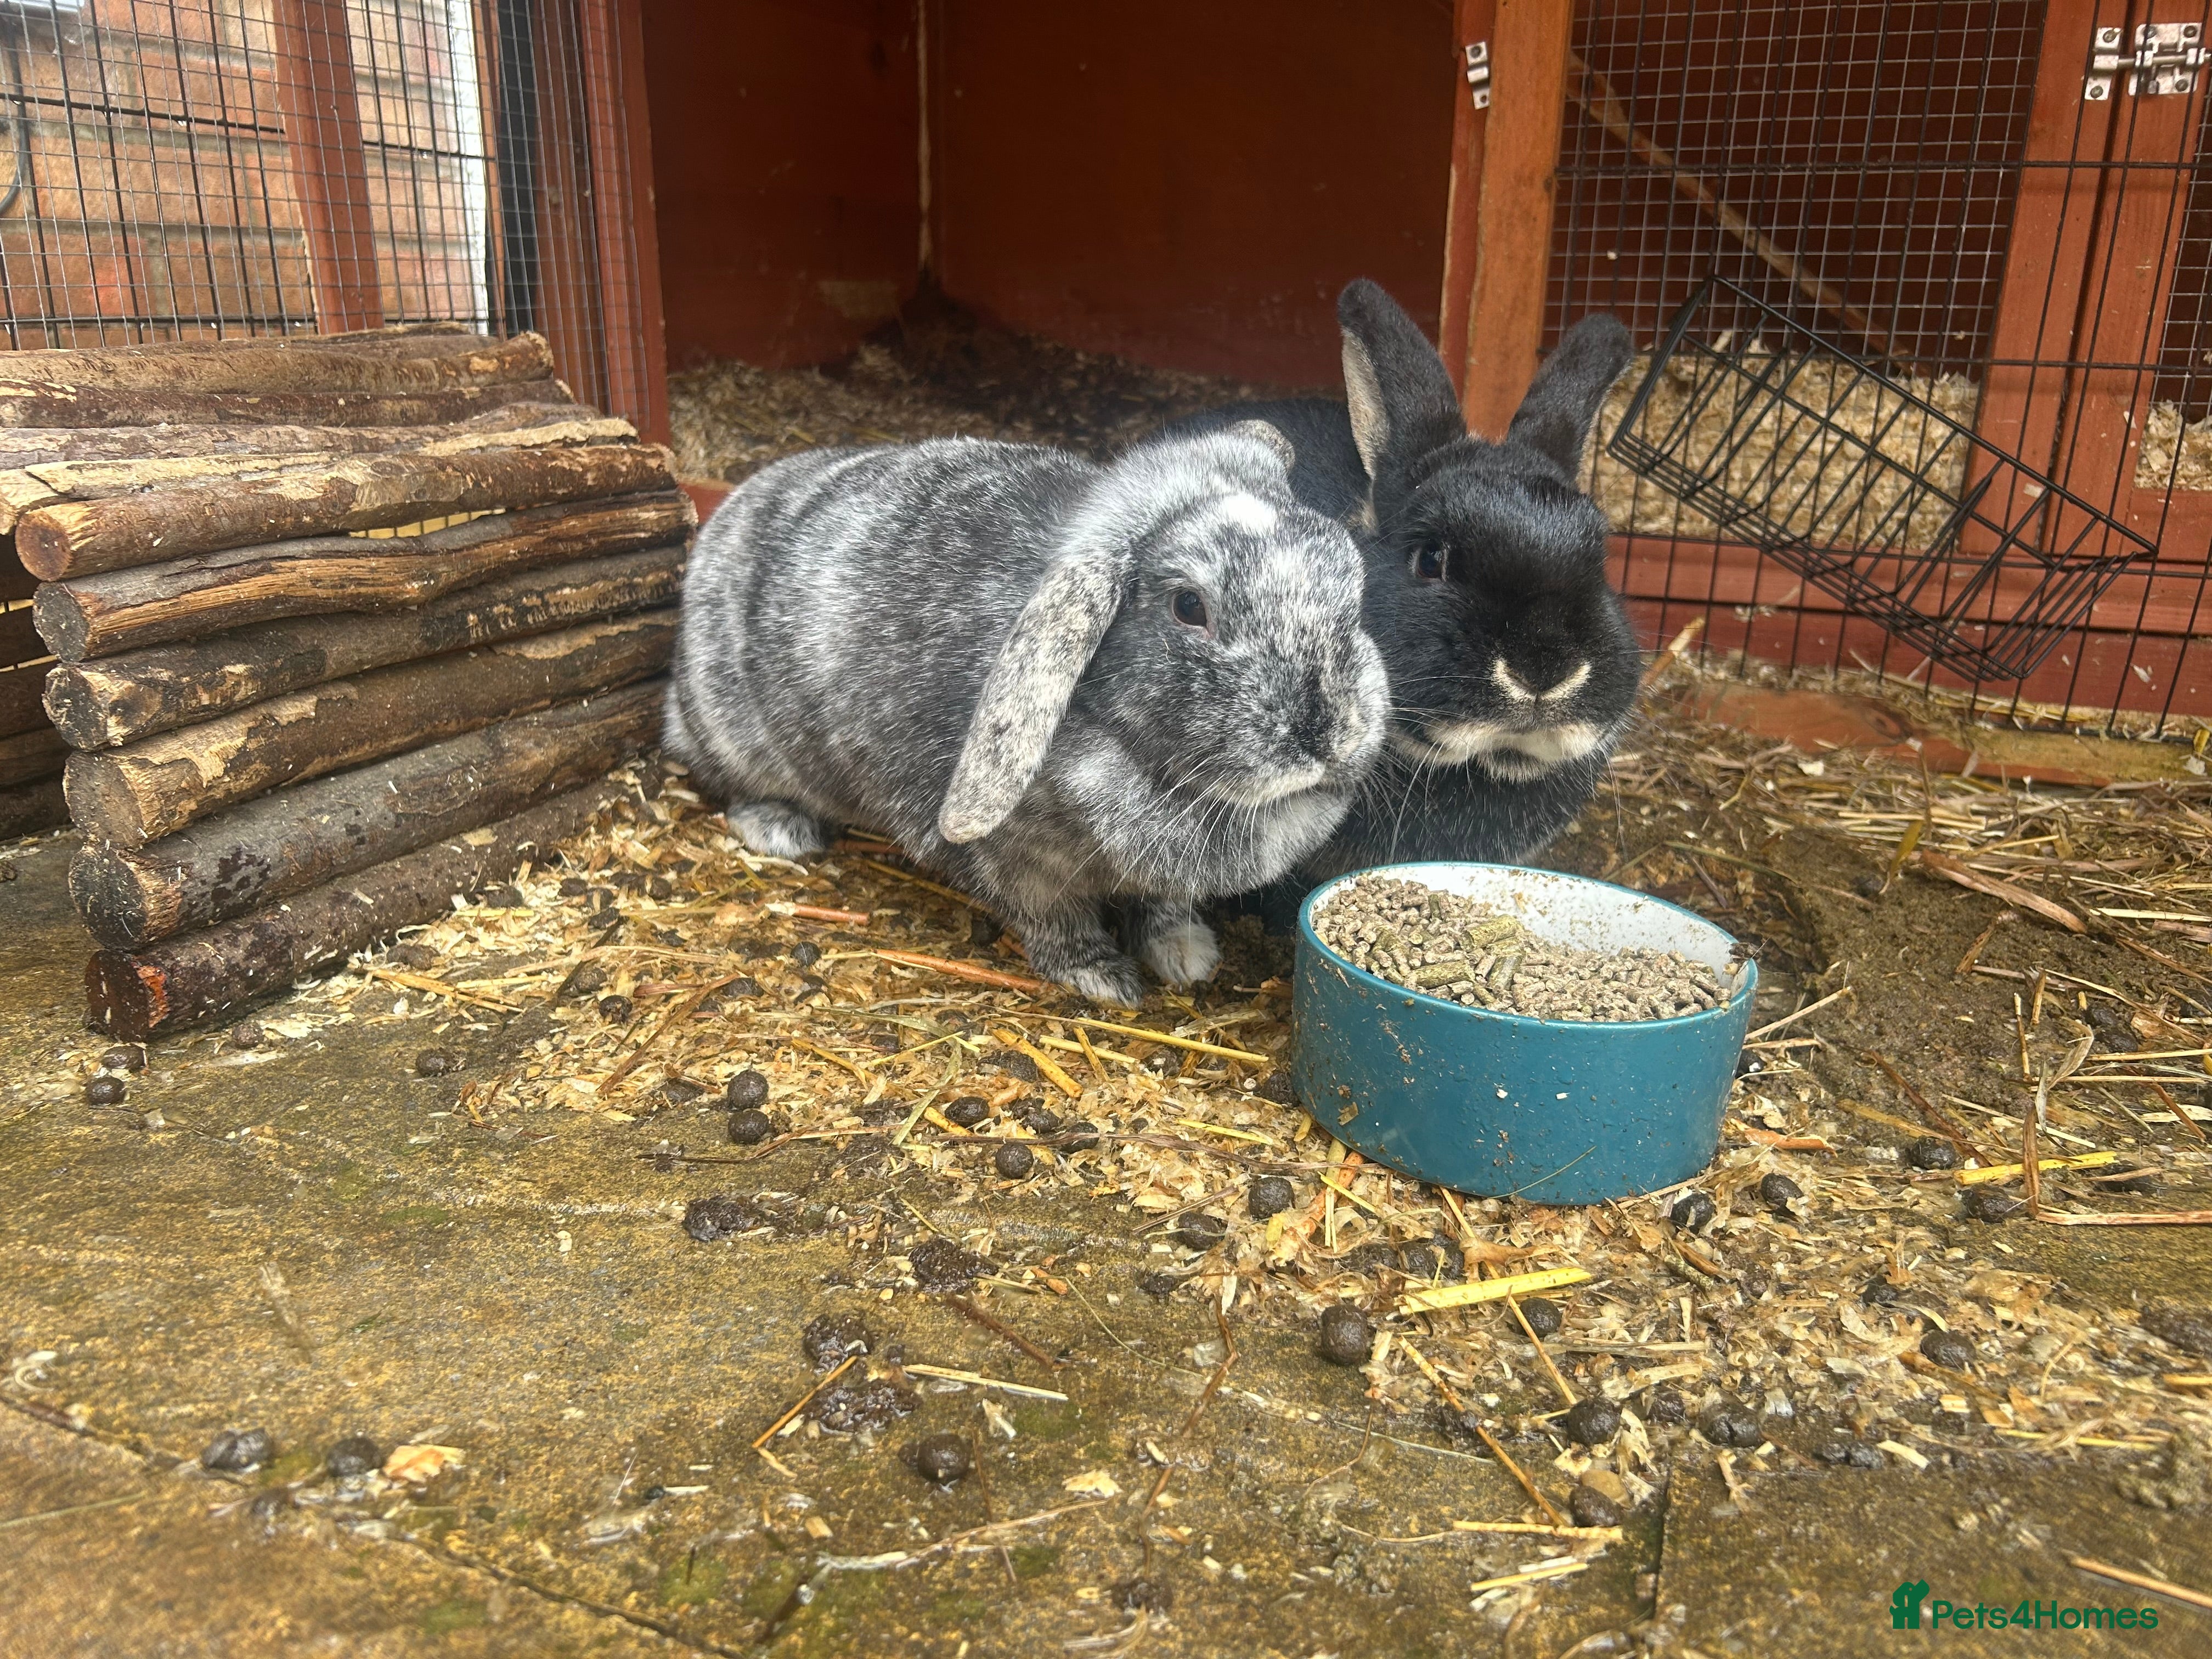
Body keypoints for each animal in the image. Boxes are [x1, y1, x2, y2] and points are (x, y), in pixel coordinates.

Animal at [665, 425, 1389, 1005]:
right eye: (1189, 607)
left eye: (1353, 586)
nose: (1329, 736)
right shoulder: (1016, 866)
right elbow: (1056, 921)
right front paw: (1104, 981)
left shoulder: (1154, 880)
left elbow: (1164, 905)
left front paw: (1188, 957)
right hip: (732, 735)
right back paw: (782, 830)